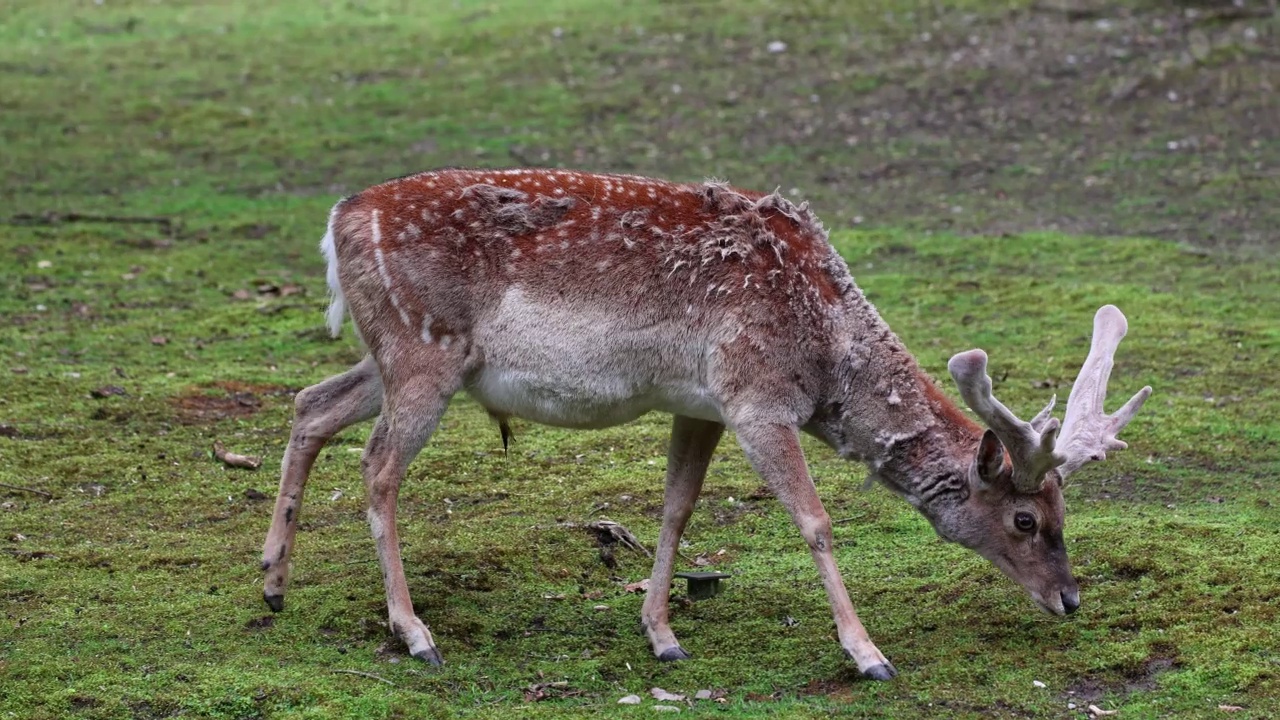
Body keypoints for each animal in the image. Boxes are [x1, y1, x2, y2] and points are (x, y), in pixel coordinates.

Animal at [259, 165, 1152, 676]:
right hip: (422, 350)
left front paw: (661, 633)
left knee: (310, 404)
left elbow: (676, 509)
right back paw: (415, 633)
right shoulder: (756, 396)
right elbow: (815, 521)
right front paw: (868, 653)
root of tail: (337, 222)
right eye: (1028, 519)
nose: (1072, 600)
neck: (825, 345)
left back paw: (272, 583)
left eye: (1063, 511)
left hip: (397, 355)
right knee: (377, 468)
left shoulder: (700, 403)